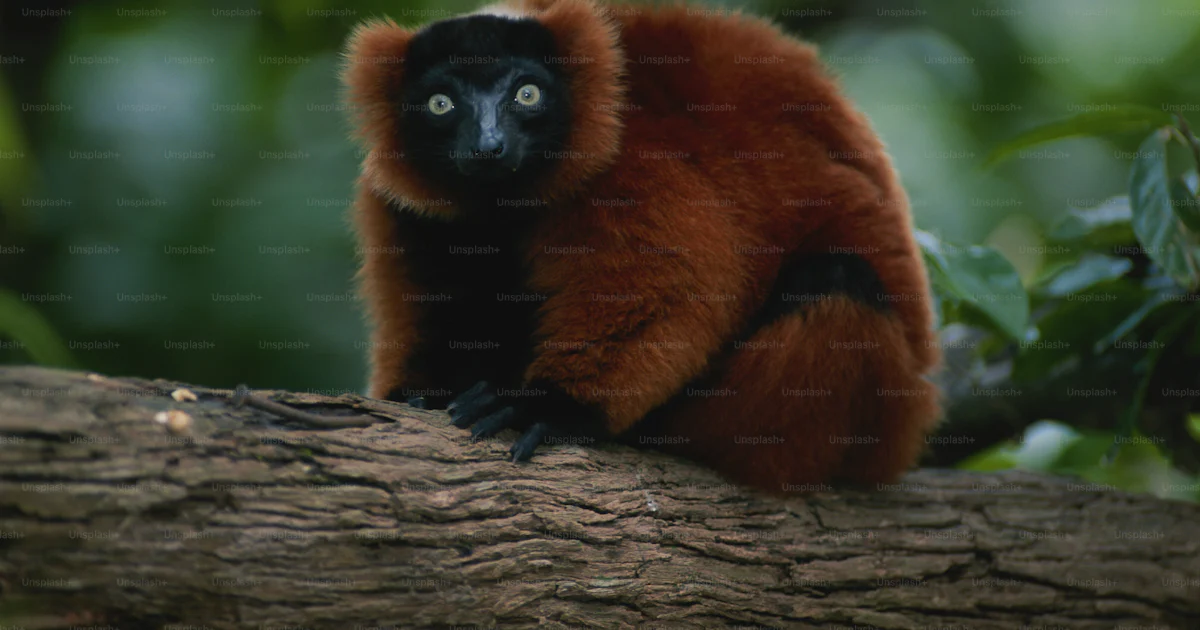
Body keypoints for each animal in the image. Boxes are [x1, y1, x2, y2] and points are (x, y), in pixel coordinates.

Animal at [340, 0, 941, 493]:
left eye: (526, 94)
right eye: (441, 104)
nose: (488, 147)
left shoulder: (629, 160)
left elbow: (677, 286)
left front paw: (547, 406)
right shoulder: (406, 207)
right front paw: (422, 395)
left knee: (838, 281)